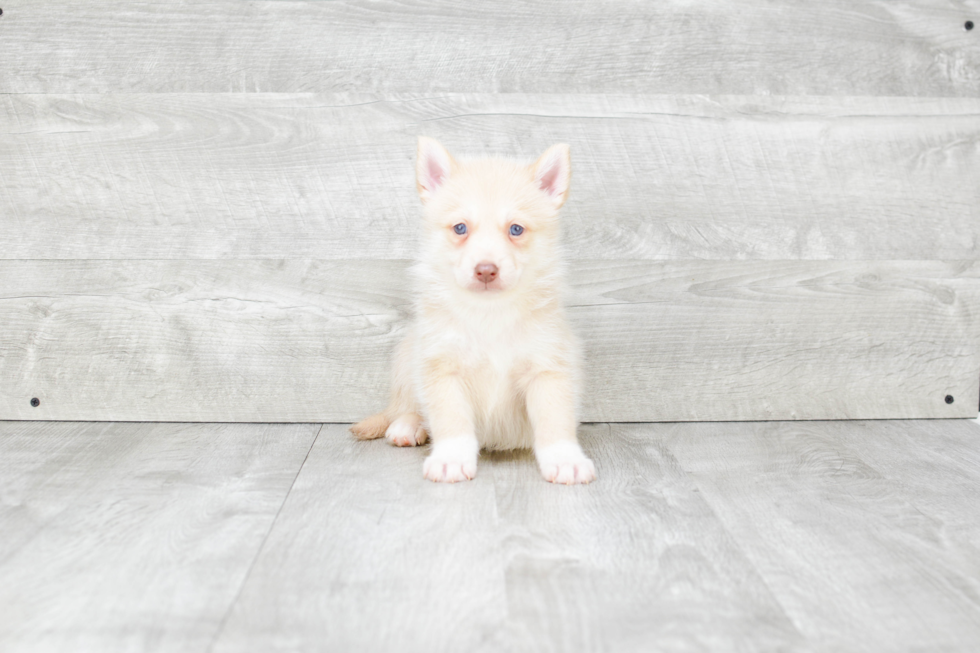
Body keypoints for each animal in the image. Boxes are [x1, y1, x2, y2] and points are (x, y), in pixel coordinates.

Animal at [352, 136, 596, 484]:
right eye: (460, 228)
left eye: (516, 229)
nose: (485, 270)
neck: (489, 312)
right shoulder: (442, 368)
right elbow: (451, 421)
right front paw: (451, 459)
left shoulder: (548, 368)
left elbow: (555, 420)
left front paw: (565, 460)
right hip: (407, 357)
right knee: (406, 406)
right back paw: (407, 426)